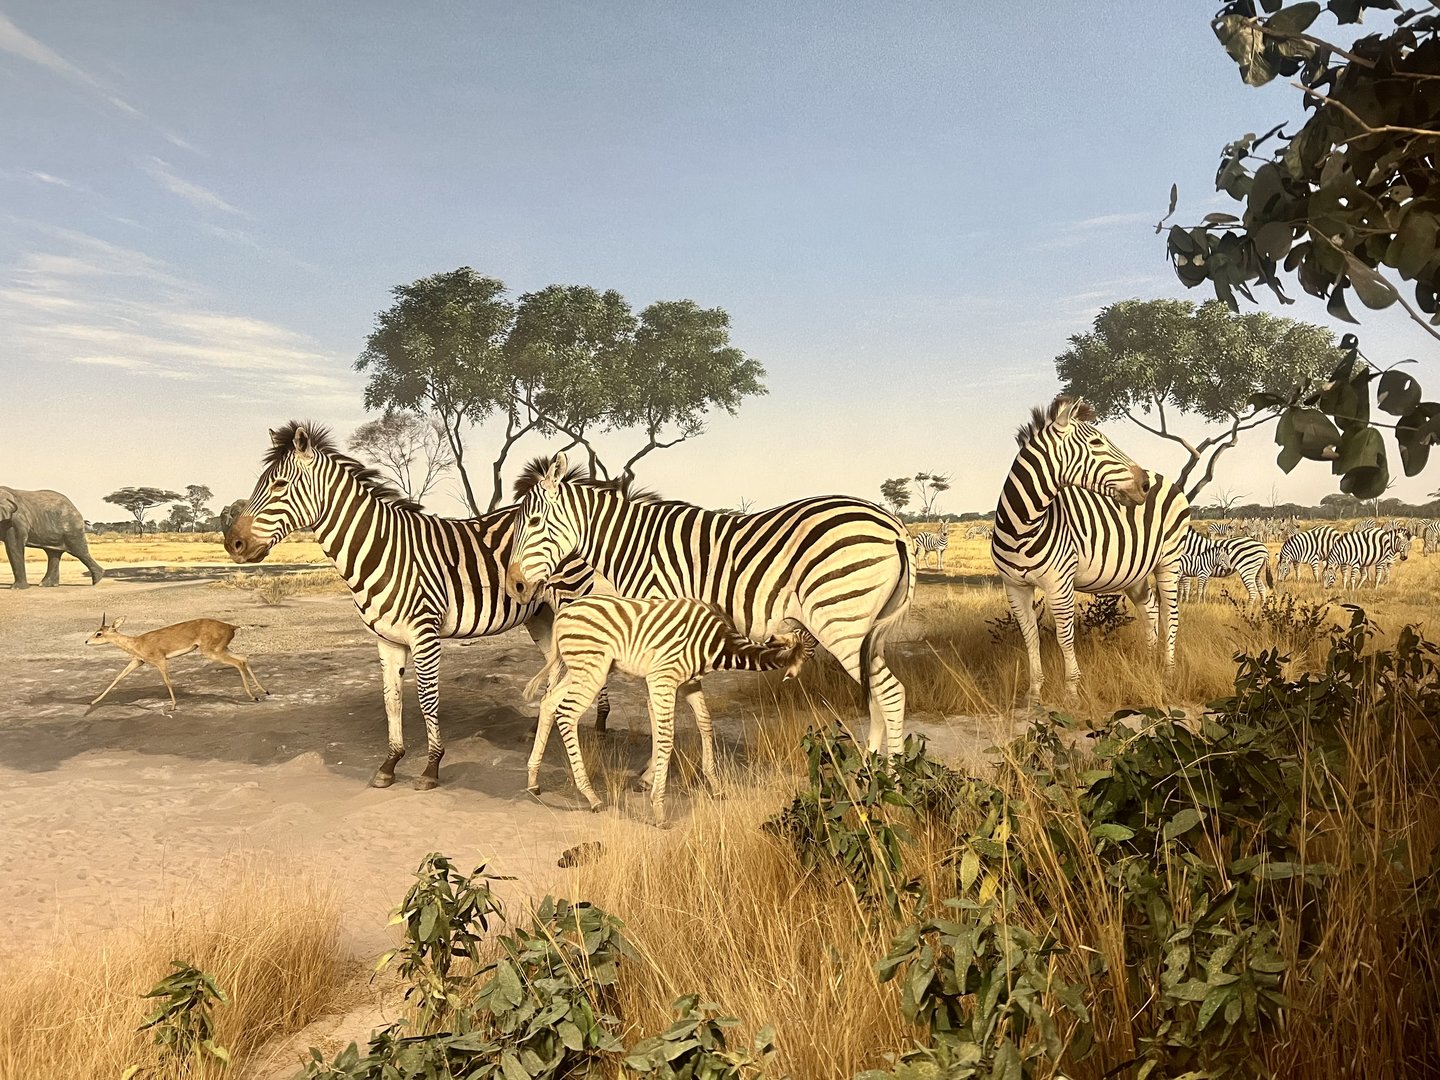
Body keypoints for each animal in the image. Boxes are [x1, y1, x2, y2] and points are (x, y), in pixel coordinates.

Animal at [224, 425, 614, 790]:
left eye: (279, 485)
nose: (233, 544)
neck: (381, 551)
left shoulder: (424, 633)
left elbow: (427, 698)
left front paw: (431, 767)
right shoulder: (386, 638)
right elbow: (392, 698)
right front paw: (390, 763)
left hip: (577, 601)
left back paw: (600, 725)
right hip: (542, 614)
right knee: (554, 670)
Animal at [503, 454, 914, 754]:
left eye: (534, 521)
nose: (515, 586)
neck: (635, 545)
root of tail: (893, 524)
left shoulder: (659, 618)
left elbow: (658, 706)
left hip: (843, 621)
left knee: (891, 694)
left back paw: (889, 782)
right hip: (865, 631)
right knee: (878, 696)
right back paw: (871, 768)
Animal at [523, 596, 816, 824]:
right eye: (810, 651)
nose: (797, 681)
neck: (717, 642)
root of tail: (562, 615)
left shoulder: (690, 684)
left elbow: (705, 724)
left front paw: (715, 785)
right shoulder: (662, 677)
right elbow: (666, 737)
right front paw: (659, 809)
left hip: (582, 671)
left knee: (548, 704)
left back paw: (533, 779)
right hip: (592, 670)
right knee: (566, 714)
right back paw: (591, 796)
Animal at [990, 396, 1191, 704]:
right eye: (1096, 443)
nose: (1144, 484)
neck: (1022, 527)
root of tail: (1165, 478)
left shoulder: (1060, 584)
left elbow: (1064, 637)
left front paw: (1071, 692)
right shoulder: (1014, 587)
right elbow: (1030, 637)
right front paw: (1034, 693)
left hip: (1169, 561)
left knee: (1171, 615)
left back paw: (1167, 675)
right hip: (1136, 572)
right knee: (1151, 610)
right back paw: (1148, 666)